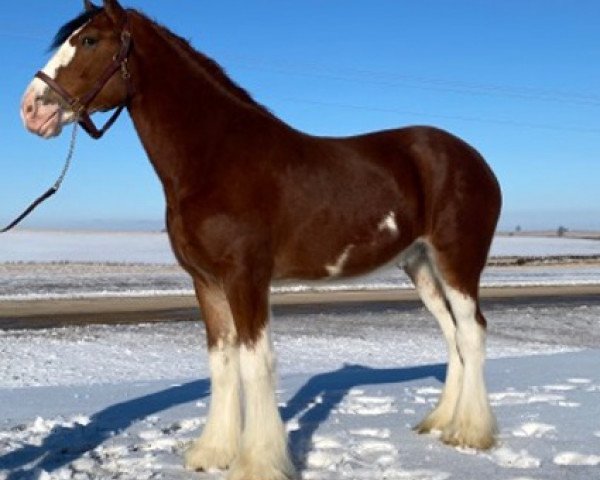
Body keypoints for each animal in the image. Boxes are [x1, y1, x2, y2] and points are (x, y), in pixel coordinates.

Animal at [19, 1, 502, 478]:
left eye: (88, 40)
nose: (30, 110)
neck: (216, 158)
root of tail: (476, 160)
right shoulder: (206, 282)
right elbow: (222, 363)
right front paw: (213, 452)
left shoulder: (246, 277)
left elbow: (255, 363)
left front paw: (258, 463)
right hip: (419, 265)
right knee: (452, 335)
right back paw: (441, 423)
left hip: (457, 261)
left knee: (472, 331)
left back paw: (470, 433)